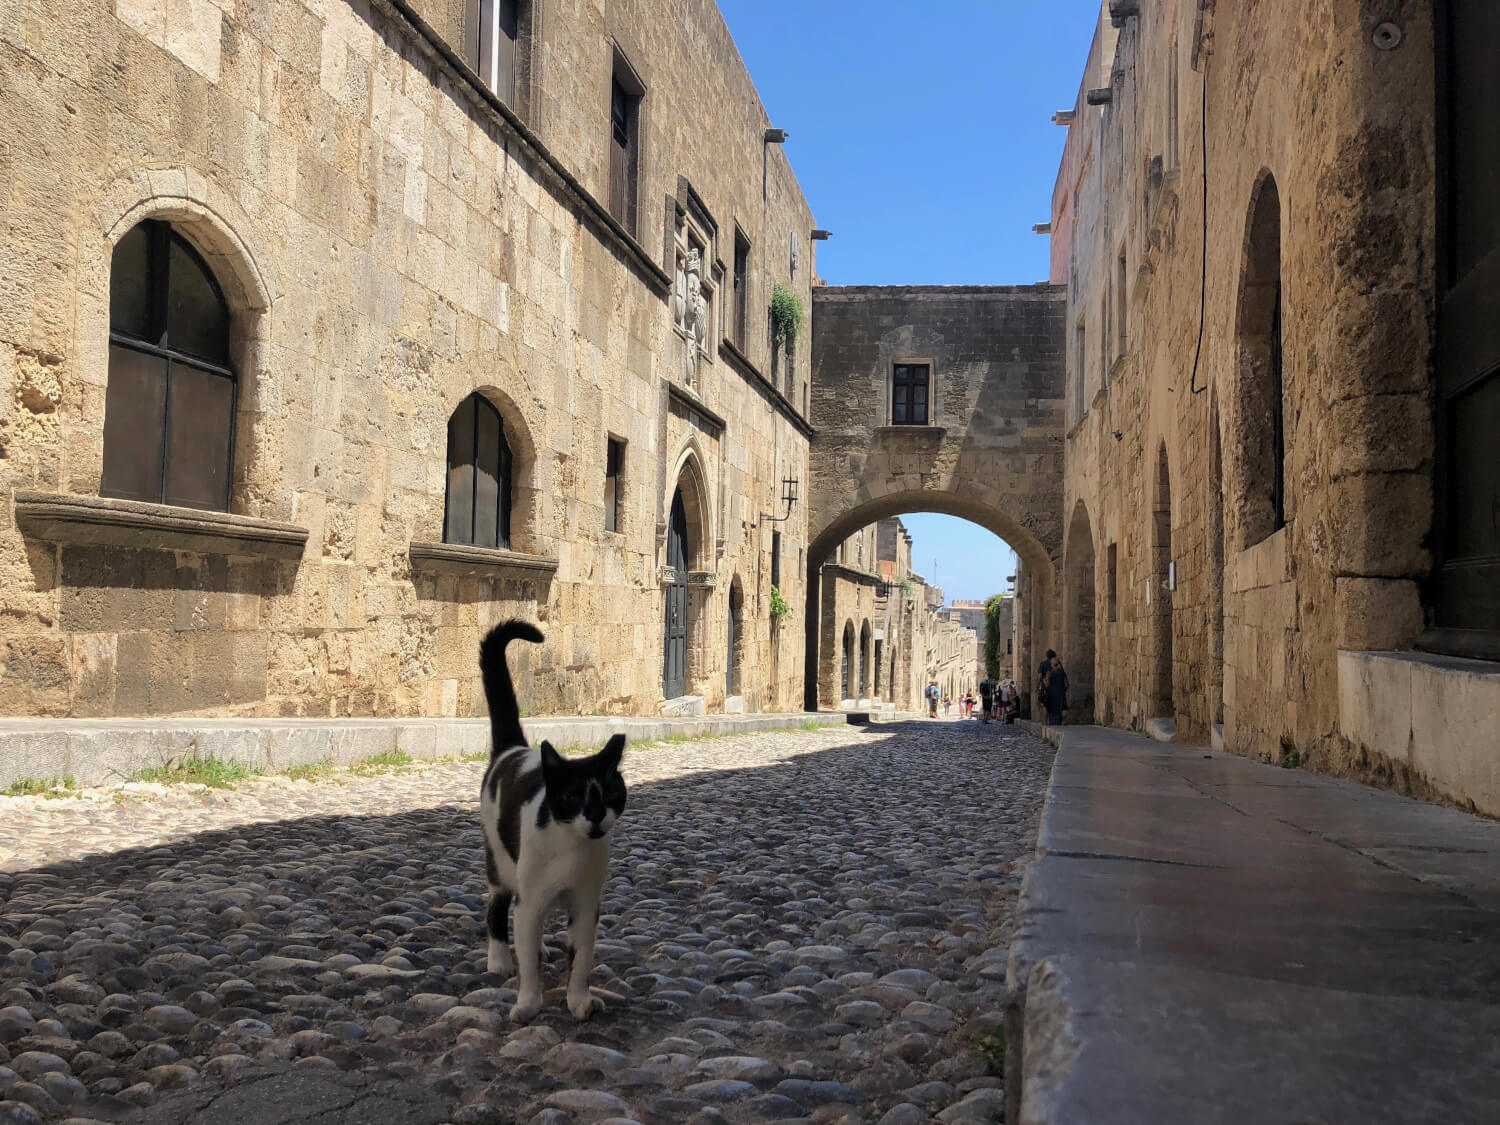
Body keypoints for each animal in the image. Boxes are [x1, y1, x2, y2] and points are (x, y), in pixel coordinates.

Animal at [477, 621, 624, 1026]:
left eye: (610, 795)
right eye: (572, 798)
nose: (594, 816)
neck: (570, 849)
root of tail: (513, 749)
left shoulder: (586, 904)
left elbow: (581, 960)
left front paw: (579, 1001)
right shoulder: (530, 899)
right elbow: (528, 966)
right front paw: (528, 1004)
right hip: (500, 862)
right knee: (497, 908)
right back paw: (499, 960)